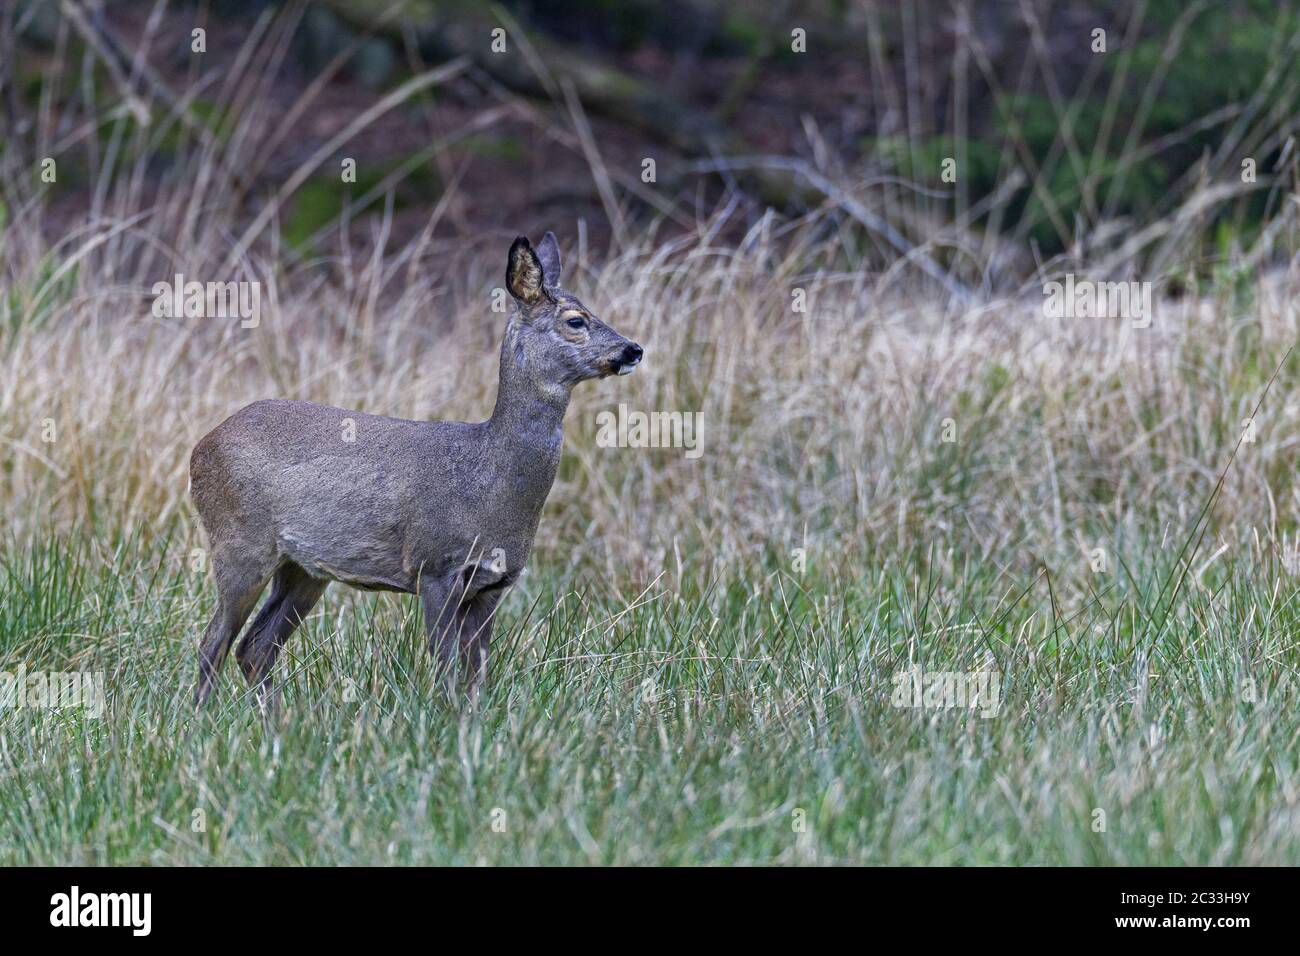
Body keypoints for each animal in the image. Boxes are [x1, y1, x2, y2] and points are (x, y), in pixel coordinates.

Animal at [189, 231, 644, 712]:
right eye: (576, 320)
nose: (633, 349)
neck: (488, 476)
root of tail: (200, 448)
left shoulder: (494, 583)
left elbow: (476, 673)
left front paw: (472, 721)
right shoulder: (435, 565)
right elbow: (444, 666)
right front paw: (444, 717)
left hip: (304, 569)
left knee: (254, 647)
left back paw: (275, 721)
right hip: (240, 542)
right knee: (214, 642)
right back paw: (202, 721)